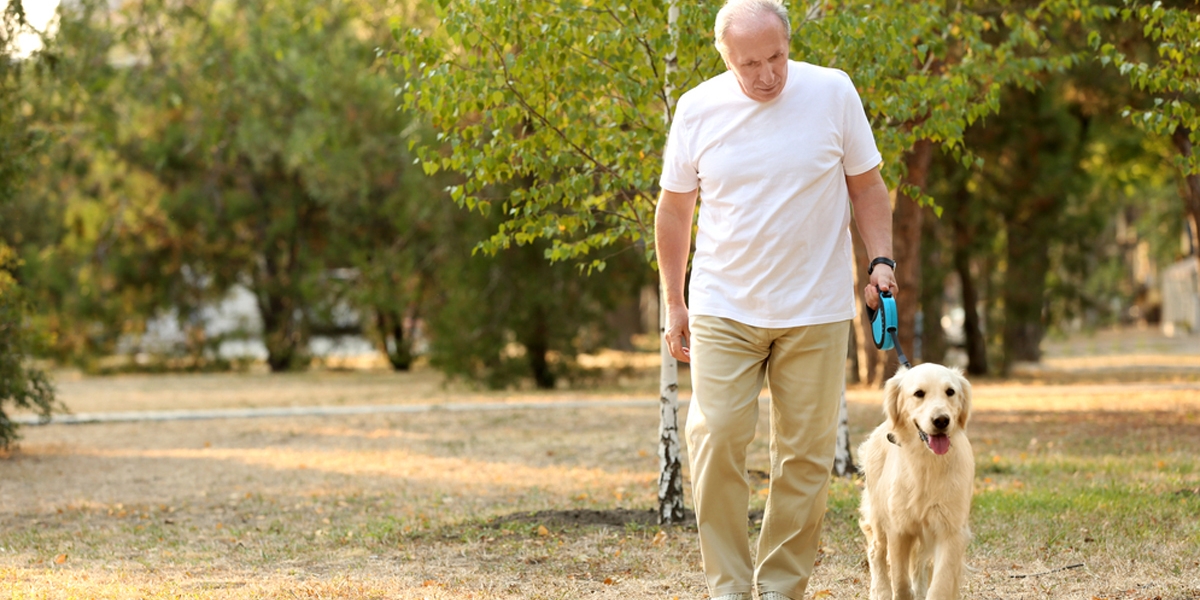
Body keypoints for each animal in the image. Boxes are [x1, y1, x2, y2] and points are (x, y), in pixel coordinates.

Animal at [859, 362, 969, 597]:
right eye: (919, 393)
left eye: (950, 392)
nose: (941, 420)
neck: (927, 462)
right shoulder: (899, 529)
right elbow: (900, 580)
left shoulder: (951, 531)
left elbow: (941, 584)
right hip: (879, 514)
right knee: (876, 551)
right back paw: (880, 591)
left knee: (919, 563)